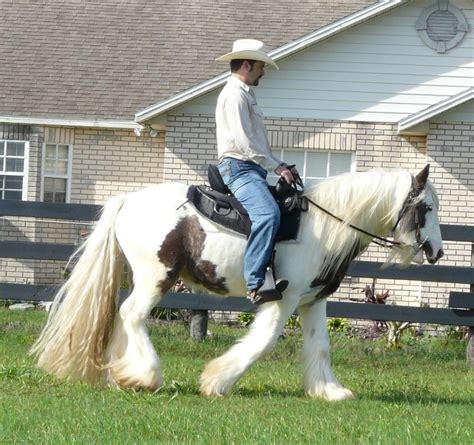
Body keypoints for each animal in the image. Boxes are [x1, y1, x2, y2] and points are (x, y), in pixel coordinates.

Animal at [29, 164, 444, 398]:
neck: (324, 226)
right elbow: (263, 342)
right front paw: (217, 382)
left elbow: (320, 346)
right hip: (156, 277)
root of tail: (128, 201)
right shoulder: (283, 299)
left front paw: (329, 391)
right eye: (426, 207)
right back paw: (146, 376)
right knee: (132, 315)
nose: (438, 252)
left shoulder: (313, 300)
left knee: (123, 317)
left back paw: (123, 376)